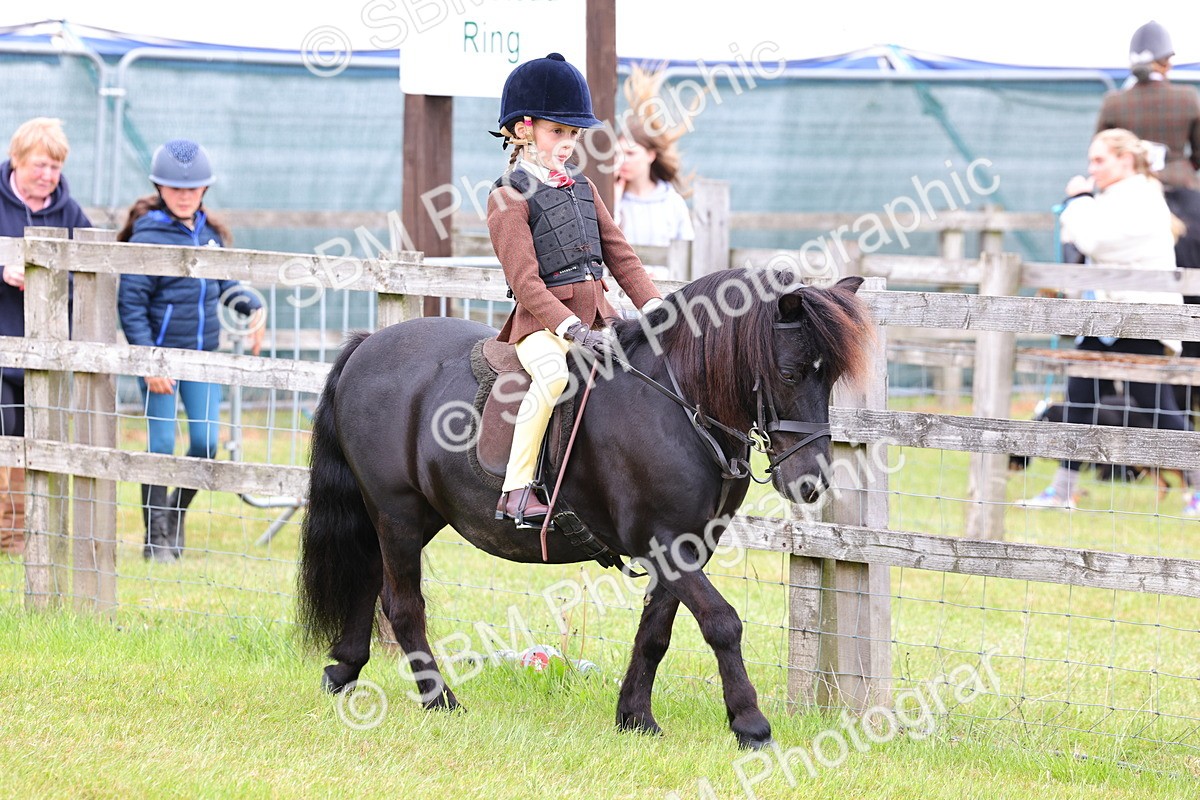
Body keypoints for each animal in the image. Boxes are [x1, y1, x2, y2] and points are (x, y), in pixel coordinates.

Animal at [297, 269, 873, 749]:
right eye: (790, 372)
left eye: (830, 378)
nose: (811, 481)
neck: (677, 406)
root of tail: (368, 345)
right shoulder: (665, 543)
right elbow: (721, 622)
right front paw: (751, 725)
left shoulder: (687, 544)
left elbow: (655, 632)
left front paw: (636, 717)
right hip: (395, 510)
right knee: (402, 604)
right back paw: (440, 700)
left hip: (415, 515)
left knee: (367, 578)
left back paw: (343, 672)